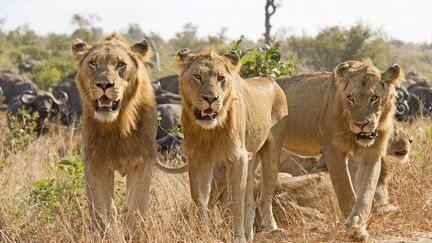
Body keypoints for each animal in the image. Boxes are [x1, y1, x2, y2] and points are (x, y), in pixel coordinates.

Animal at [71, 33, 159, 229]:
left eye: (121, 64)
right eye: (93, 63)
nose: (104, 85)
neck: (116, 124)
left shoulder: (143, 159)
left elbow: (136, 206)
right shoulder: (95, 161)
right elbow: (100, 209)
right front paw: (106, 230)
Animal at [174, 49, 288, 241]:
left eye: (221, 78)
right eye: (197, 76)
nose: (211, 98)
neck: (209, 131)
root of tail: (271, 80)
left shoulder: (237, 157)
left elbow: (235, 200)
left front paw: (237, 238)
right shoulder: (198, 159)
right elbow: (200, 198)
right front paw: (203, 233)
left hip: (271, 153)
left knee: (264, 198)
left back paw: (273, 230)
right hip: (248, 159)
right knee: (248, 199)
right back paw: (249, 234)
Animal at [276, 59, 404, 241]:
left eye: (374, 98)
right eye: (350, 98)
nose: (361, 124)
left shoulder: (371, 154)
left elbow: (366, 192)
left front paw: (357, 227)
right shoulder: (332, 150)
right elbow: (346, 192)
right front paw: (352, 230)